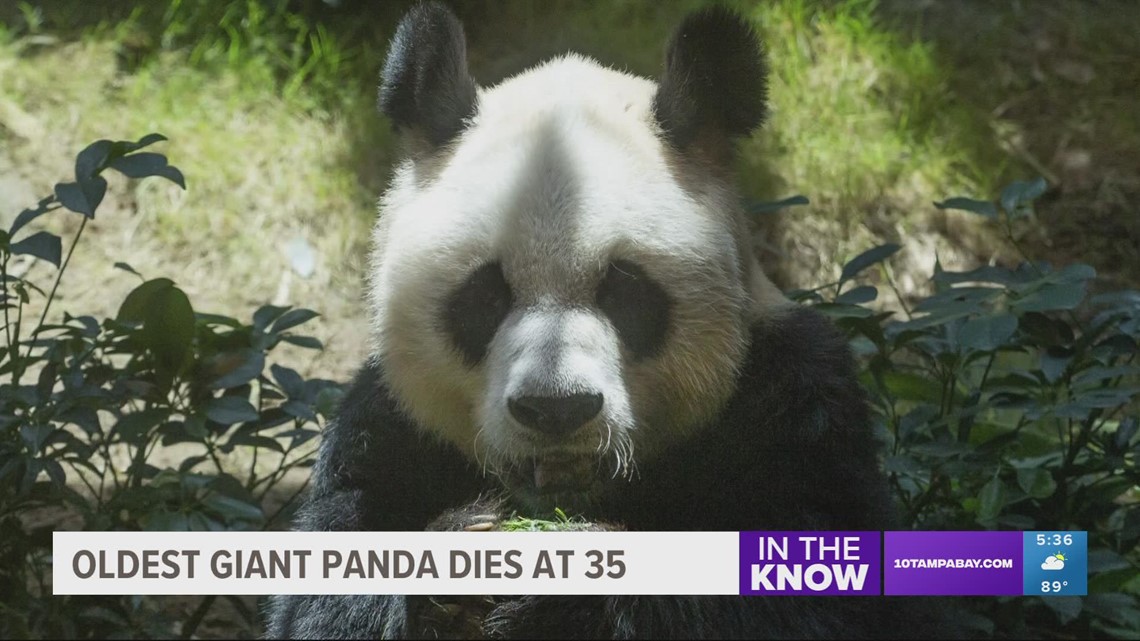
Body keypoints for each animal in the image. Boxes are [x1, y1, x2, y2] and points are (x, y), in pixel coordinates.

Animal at [267, 3, 945, 639]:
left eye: (625, 291)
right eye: (486, 295)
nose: (556, 411)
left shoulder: (794, 404)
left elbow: (833, 600)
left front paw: (569, 592)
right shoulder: (385, 428)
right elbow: (320, 604)